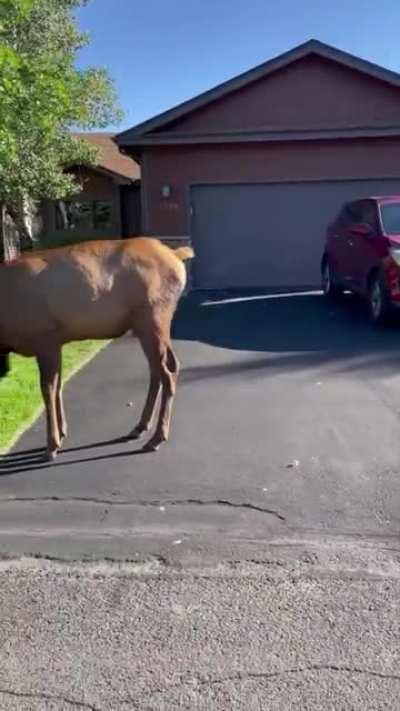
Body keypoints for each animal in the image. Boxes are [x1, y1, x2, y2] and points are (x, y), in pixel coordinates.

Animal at [0, 237, 194, 461]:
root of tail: (176, 256)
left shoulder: (45, 338)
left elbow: (47, 390)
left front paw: (52, 446)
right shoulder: (56, 342)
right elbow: (58, 385)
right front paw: (62, 432)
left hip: (153, 316)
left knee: (167, 372)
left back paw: (157, 437)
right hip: (146, 324)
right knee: (162, 368)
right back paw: (140, 426)